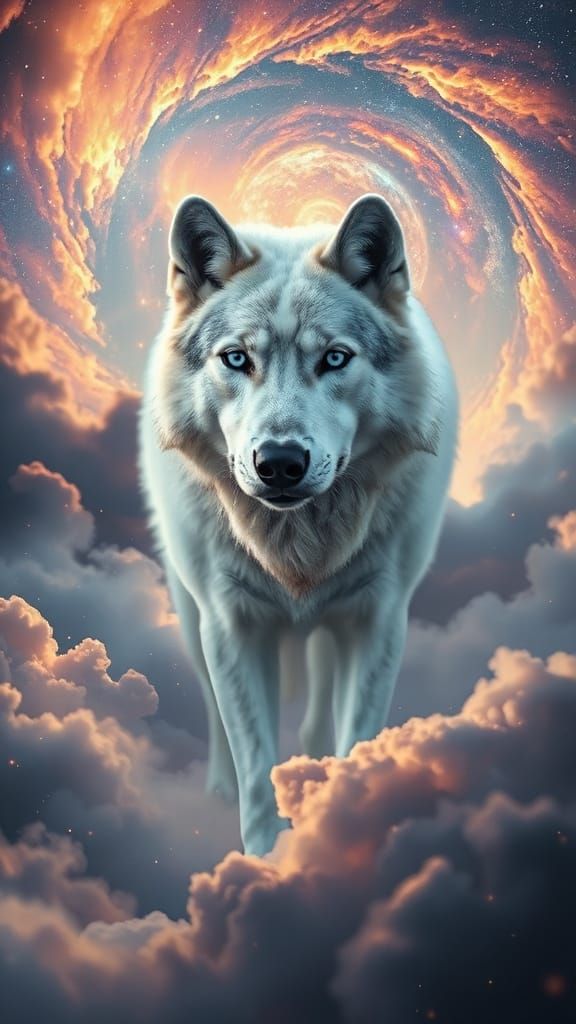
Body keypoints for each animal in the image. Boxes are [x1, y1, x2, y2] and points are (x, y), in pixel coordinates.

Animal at [139, 192, 458, 857]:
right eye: (237, 358)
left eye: (334, 358)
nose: (280, 462)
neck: (298, 551)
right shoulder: (232, 626)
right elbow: (256, 766)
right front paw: (266, 859)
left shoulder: (378, 621)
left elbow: (358, 736)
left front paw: (346, 824)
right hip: (190, 614)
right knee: (214, 711)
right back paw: (219, 788)